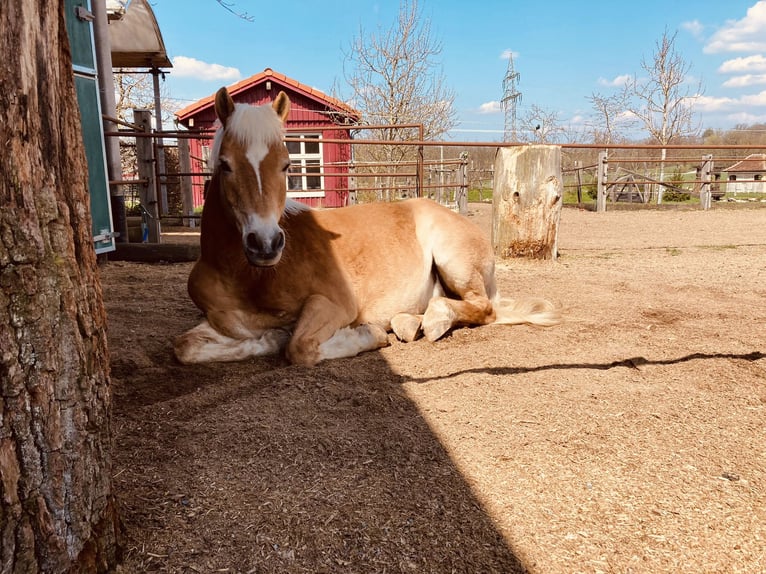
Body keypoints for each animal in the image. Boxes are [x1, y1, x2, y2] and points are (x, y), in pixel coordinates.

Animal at [172, 85, 560, 366]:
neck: (250, 277)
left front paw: (366, 336)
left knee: (482, 307)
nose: (265, 244)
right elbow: (184, 346)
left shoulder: (335, 304)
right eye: (225, 165)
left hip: (455, 263)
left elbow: (300, 347)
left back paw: (429, 322)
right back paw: (409, 323)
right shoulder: (221, 321)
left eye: (286, 165)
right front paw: (270, 337)